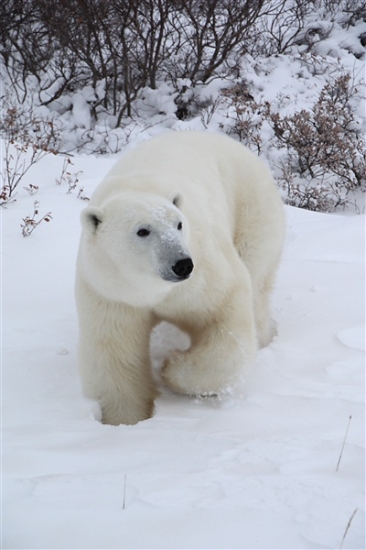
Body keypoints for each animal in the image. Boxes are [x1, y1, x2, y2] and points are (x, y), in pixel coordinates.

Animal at [75, 133, 286, 426]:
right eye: (142, 230)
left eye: (178, 224)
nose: (182, 264)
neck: (155, 292)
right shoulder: (112, 294)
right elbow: (116, 356)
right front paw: (126, 420)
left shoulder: (201, 278)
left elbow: (226, 321)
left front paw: (171, 367)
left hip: (252, 206)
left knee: (256, 278)